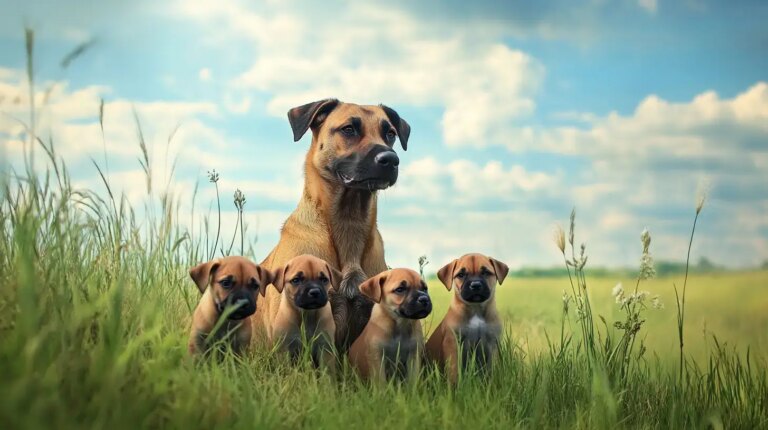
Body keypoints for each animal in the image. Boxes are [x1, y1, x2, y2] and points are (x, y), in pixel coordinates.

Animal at [426, 252, 510, 382]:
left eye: (486, 272)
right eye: (461, 275)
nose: (475, 285)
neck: (475, 308)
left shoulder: (493, 343)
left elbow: (492, 368)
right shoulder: (453, 343)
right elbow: (454, 370)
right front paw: (455, 386)